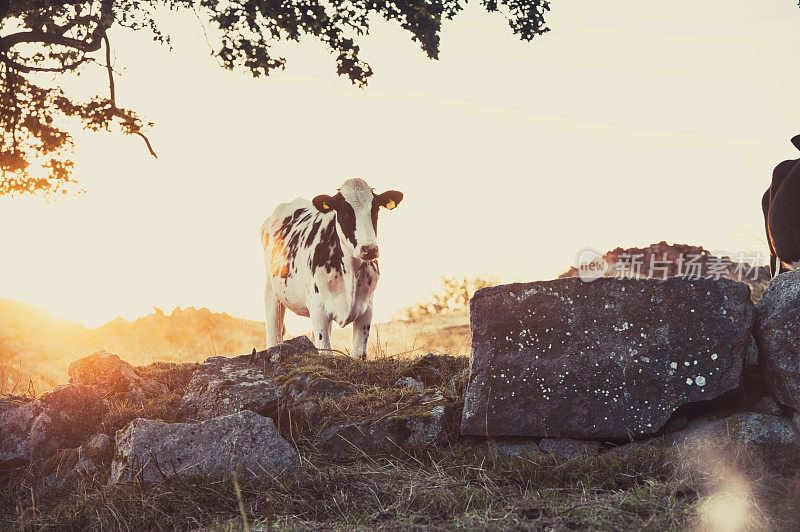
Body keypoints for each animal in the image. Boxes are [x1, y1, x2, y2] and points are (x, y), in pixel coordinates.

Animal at [260, 178, 404, 358]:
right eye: (344, 212)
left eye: (375, 209)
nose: (369, 249)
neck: (350, 272)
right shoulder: (318, 309)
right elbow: (327, 352)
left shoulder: (366, 310)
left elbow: (357, 354)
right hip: (272, 291)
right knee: (274, 335)